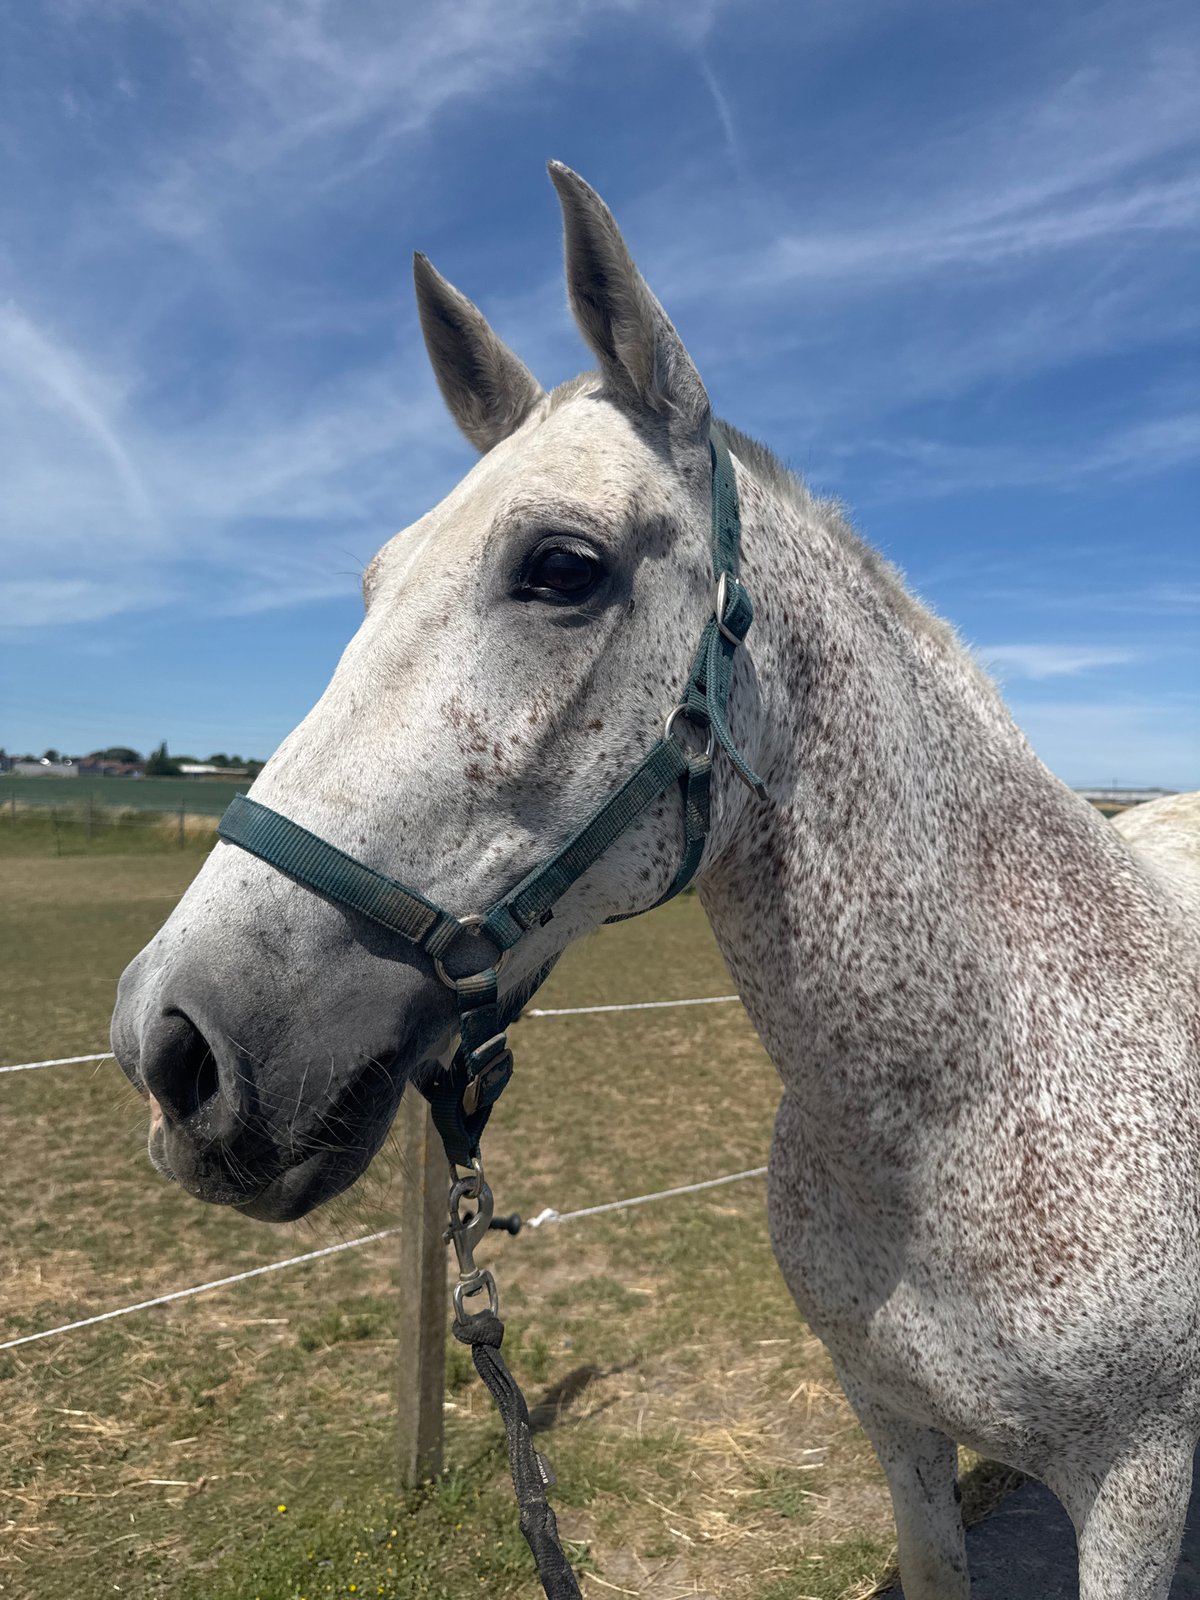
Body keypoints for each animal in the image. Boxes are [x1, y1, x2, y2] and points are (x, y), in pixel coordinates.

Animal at [111, 164, 1200, 1599]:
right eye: (374, 581)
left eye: (562, 567)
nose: (168, 1042)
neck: (970, 1100)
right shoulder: (894, 1425)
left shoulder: (1136, 1484)